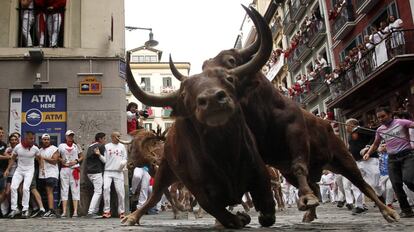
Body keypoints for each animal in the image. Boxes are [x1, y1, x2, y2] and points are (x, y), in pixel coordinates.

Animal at [121, 5, 276, 228]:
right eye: (185, 94)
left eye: (229, 79)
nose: (212, 99)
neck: (224, 153)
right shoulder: (195, 185)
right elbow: (210, 205)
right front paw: (235, 217)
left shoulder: (259, 170)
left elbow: (266, 203)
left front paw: (251, 212)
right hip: (166, 170)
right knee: (156, 195)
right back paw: (134, 216)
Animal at [199, 6, 400, 223]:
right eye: (204, 68)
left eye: (231, 61)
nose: (208, 92)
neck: (263, 115)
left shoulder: (296, 134)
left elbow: (299, 165)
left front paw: (305, 200)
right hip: (291, 174)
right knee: (315, 186)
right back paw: (310, 212)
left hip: (344, 159)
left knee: (363, 184)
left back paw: (388, 212)